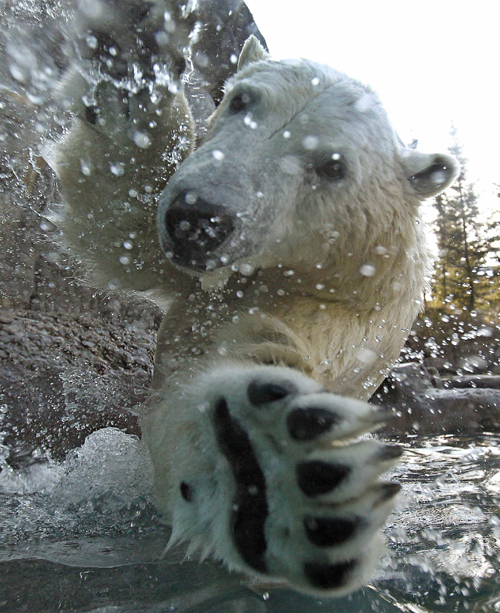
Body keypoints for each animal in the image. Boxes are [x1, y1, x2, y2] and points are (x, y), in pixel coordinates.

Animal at [48, 0, 458, 596]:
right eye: (241, 99)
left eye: (333, 166)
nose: (200, 218)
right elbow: (127, 218)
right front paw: (133, 51)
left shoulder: (340, 304)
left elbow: (233, 353)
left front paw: (265, 475)